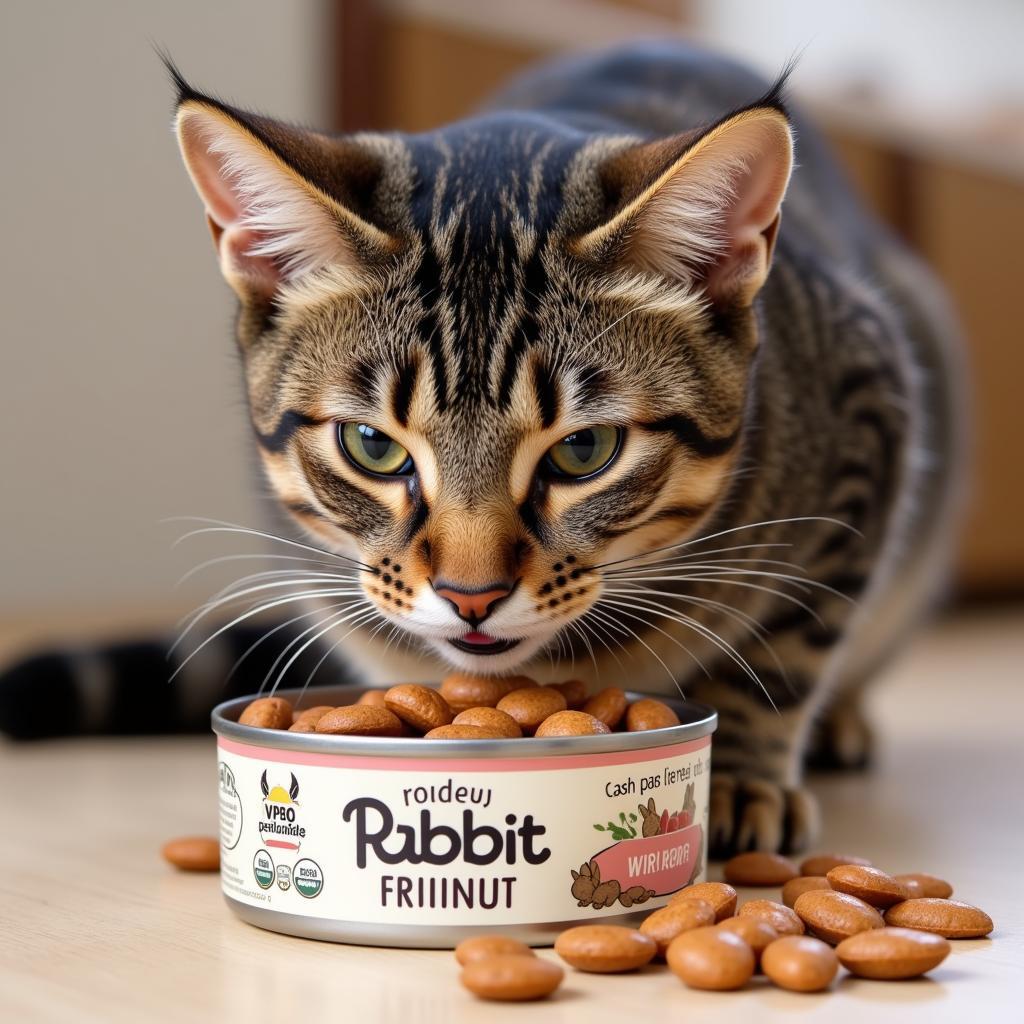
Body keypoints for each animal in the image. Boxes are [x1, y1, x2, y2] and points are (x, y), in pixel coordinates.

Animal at [0, 41, 958, 856]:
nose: (471, 597)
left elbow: (786, 649)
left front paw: (739, 778)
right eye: (370, 446)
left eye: (586, 450)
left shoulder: (871, 409)